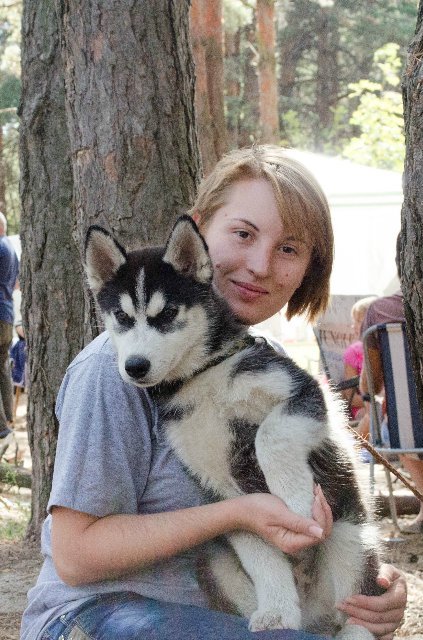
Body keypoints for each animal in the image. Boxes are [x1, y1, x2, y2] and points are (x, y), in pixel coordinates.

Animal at [84, 218, 382, 636]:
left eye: (168, 312)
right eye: (122, 318)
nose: (135, 367)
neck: (201, 377)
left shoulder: (302, 392)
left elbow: (269, 436)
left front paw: (295, 501)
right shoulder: (221, 486)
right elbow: (261, 554)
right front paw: (277, 611)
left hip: (352, 536)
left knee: (357, 608)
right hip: (215, 561)